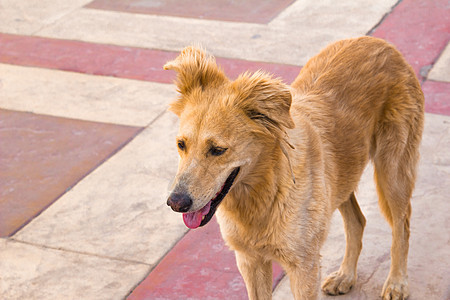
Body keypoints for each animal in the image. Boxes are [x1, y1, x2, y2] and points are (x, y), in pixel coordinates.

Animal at [164, 36, 422, 298]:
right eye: (181, 145)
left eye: (217, 150)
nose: (176, 203)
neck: (264, 190)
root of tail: (380, 43)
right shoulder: (250, 261)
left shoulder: (303, 266)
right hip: (342, 177)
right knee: (358, 221)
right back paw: (345, 275)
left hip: (392, 172)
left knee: (402, 227)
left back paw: (397, 282)